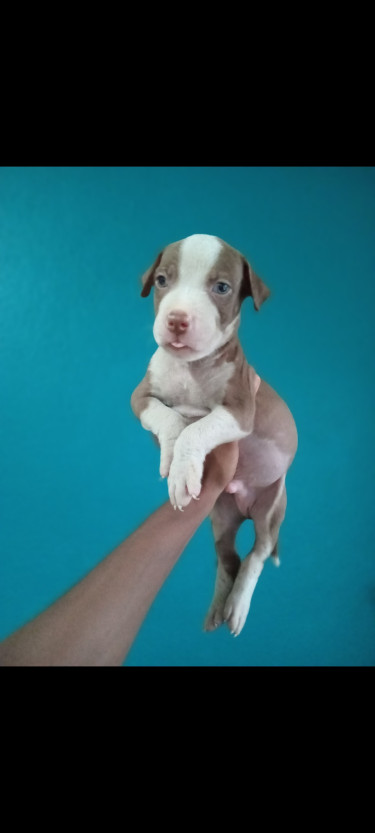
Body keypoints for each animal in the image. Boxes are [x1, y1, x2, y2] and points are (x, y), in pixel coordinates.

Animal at [131, 234, 298, 636]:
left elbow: (198, 429)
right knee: (228, 558)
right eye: (162, 281)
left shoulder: (240, 410)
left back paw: (237, 607)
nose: (177, 320)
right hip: (220, 518)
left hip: (273, 505)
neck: (191, 368)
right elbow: (170, 419)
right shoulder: (140, 397)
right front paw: (172, 458)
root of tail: (243, 504)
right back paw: (218, 608)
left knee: (257, 554)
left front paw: (182, 468)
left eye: (221, 288)